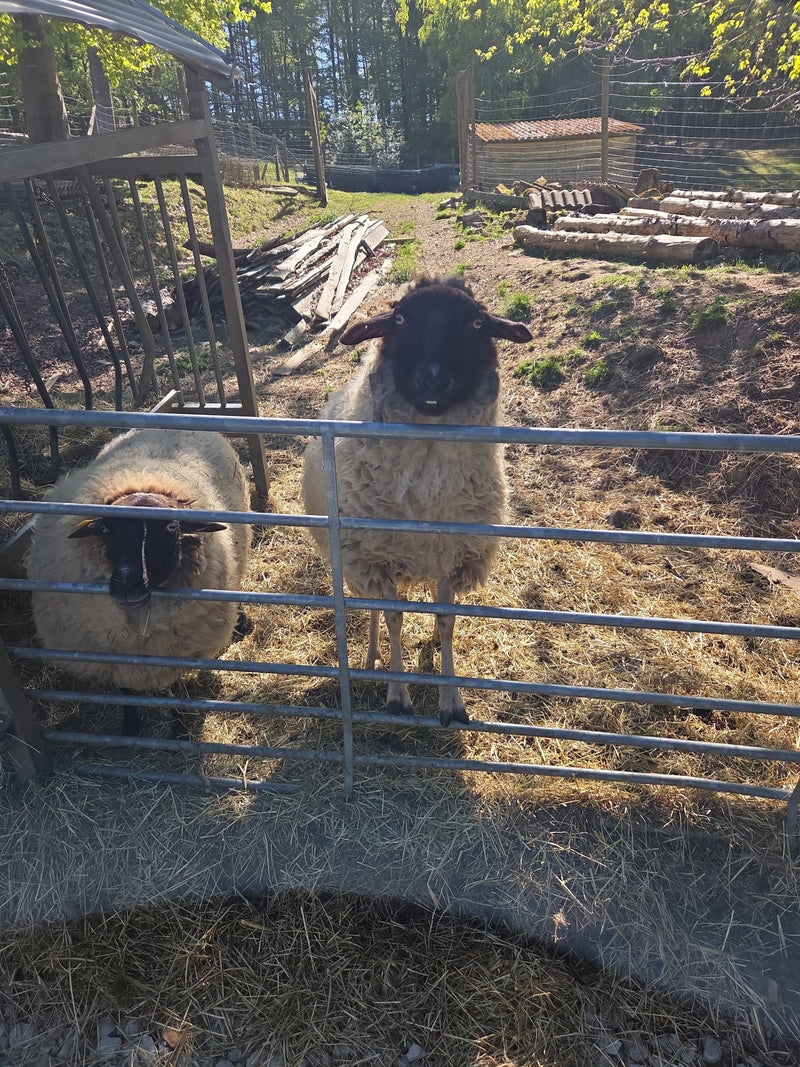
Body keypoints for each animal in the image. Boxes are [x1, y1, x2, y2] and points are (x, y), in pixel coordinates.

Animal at [27, 428, 251, 734]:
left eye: (170, 527)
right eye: (106, 528)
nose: (127, 584)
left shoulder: (176, 651)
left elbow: (176, 690)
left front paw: (178, 730)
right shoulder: (116, 655)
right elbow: (125, 691)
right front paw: (131, 727)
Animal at [302, 275, 532, 725]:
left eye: (476, 323)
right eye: (401, 320)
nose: (433, 383)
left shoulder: (452, 554)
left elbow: (446, 620)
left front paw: (450, 699)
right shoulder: (376, 558)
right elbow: (394, 616)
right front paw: (397, 695)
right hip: (358, 561)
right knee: (375, 607)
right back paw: (372, 658)